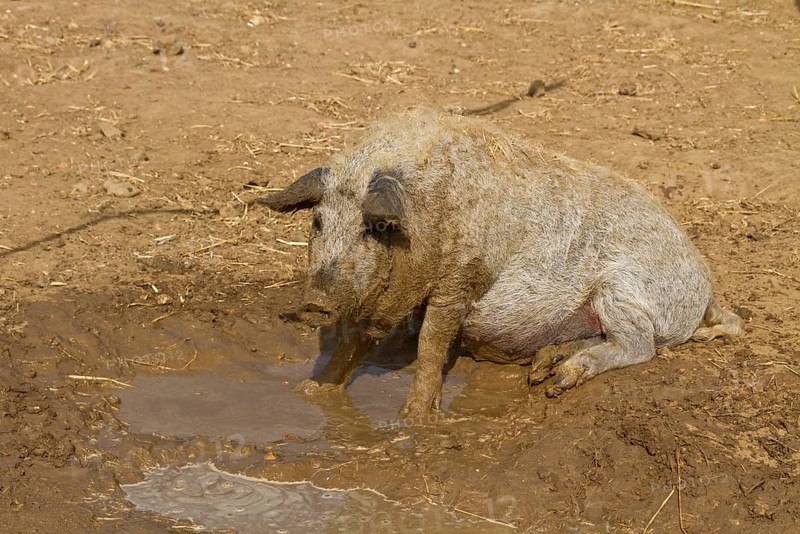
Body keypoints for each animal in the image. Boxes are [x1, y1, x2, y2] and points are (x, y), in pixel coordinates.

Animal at [260, 108, 742, 417]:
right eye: (318, 222)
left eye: (372, 228)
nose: (314, 303)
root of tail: (706, 289)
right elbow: (352, 341)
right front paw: (311, 392)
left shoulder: (459, 278)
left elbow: (431, 343)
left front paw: (413, 420)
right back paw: (544, 368)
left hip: (622, 290)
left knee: (640, 346)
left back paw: (560, 382)